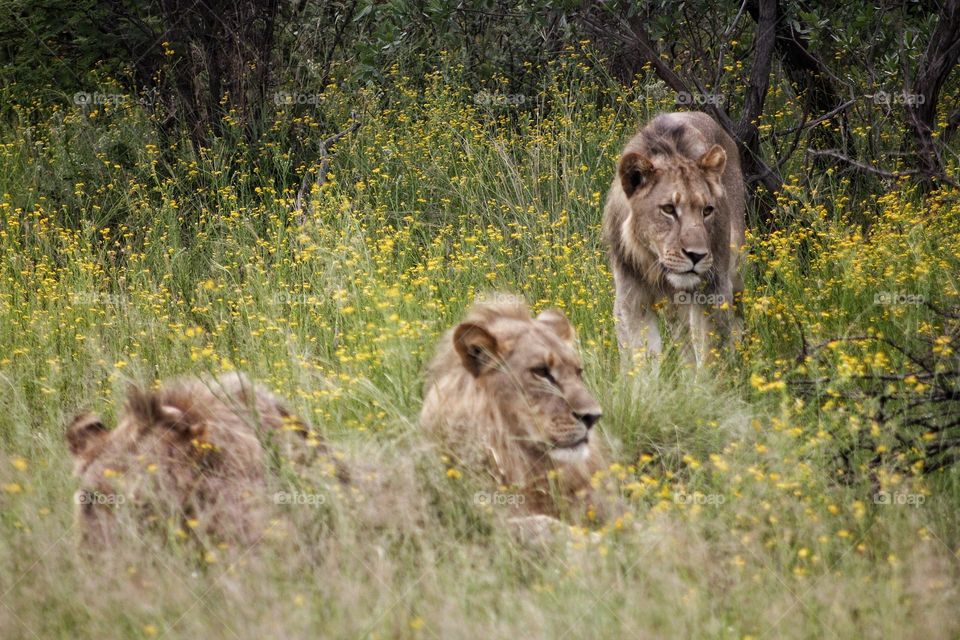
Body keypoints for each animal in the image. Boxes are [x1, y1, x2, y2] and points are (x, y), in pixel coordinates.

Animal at [604, 110, 748, 364]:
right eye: (669, 209)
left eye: (707, 210)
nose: (696, 255)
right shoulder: (632, 299)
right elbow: (642, 359)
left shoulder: (713, 289)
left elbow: (712, 356)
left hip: (735, 267)